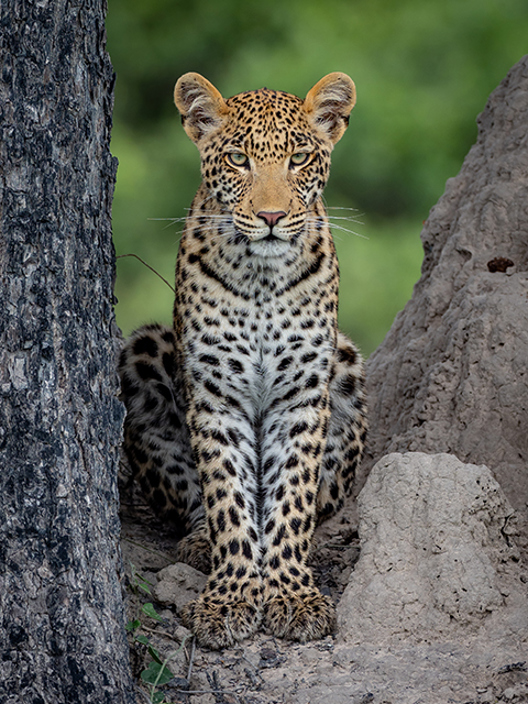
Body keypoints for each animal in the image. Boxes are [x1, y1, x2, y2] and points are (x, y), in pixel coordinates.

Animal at [119, 72, 367, 649]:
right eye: (237, 159)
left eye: (299, 158)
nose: (271, 217)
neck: (261, 280)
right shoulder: (216, 398)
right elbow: (228, 496)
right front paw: (231, 597)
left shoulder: (301, 398)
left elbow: (292, 498)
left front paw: (292, 594)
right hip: (142, 353)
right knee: (194, 500)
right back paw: (200, 544)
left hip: (346, 366)